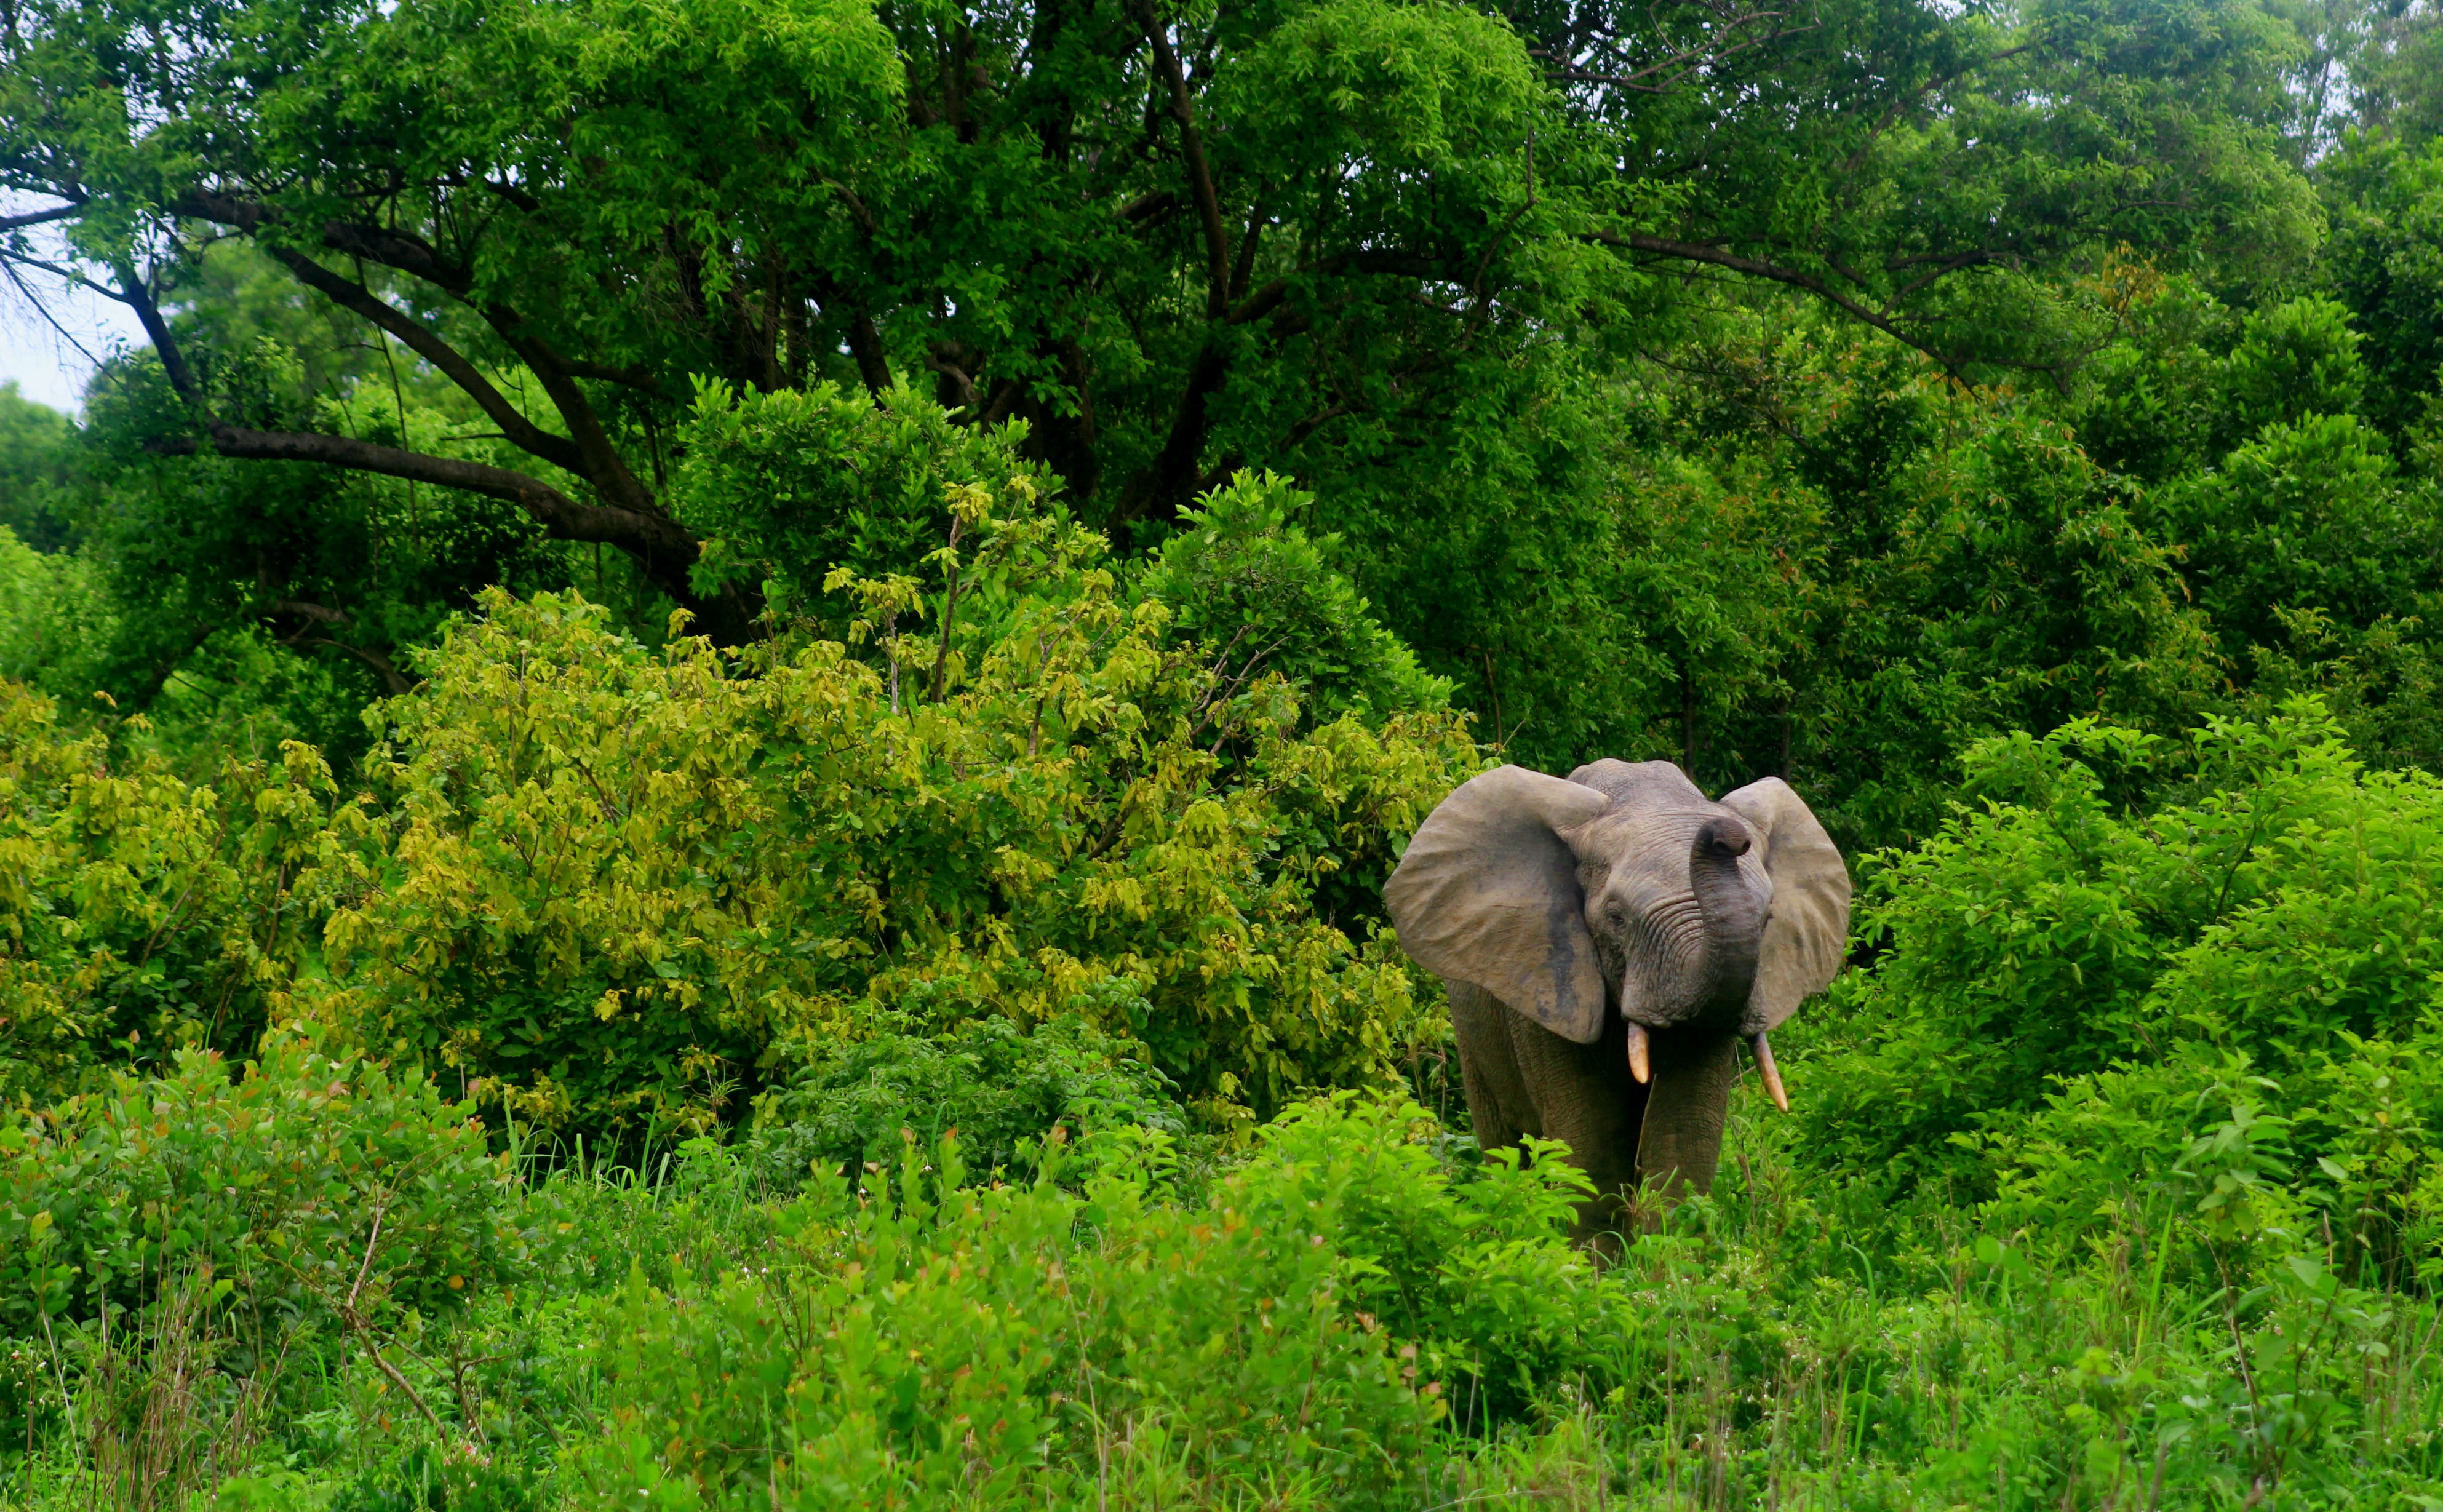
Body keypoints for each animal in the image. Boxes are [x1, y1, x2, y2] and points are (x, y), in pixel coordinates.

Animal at [1383, 759, 1851, 1243]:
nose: (1727, 836)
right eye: (1616, 918)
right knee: (1506, 1147)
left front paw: (1667, 1262)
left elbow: (1682, 1138)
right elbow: (1592, 1145)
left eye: (1768, 918)